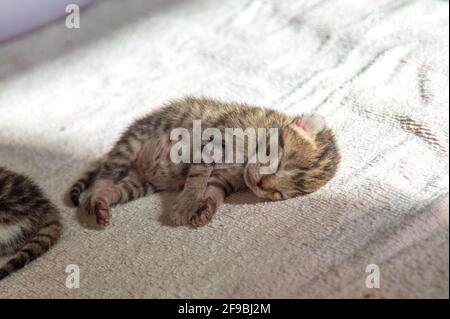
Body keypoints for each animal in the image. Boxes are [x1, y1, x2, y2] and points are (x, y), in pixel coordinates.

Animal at [69, 97, 338, 228]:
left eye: (279, 194)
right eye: (282, 161)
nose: (261, 184)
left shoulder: (226, 179)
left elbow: (214, 189)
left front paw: (206, 208)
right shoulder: (214, 141)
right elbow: (198, 177)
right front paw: (186, 205)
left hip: (139, 183)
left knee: (120, 189)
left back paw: (103, 204)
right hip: (132, 144)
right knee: (104, 176)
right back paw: (96, 197)